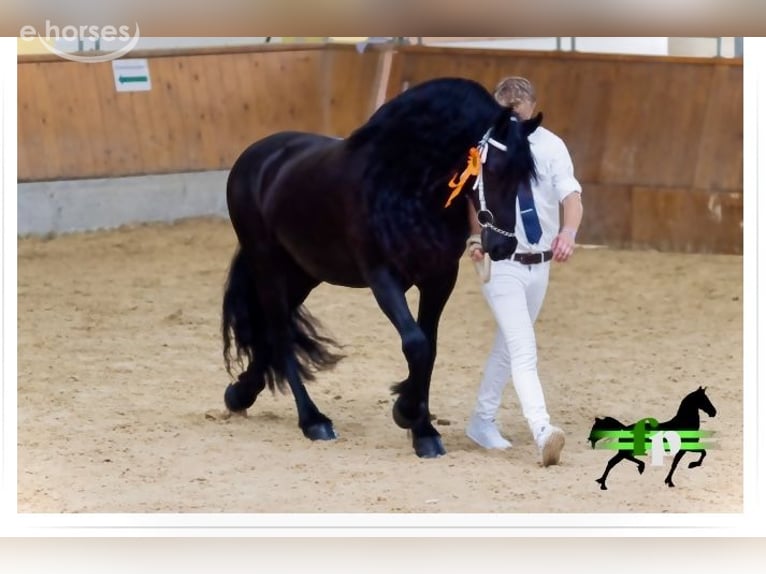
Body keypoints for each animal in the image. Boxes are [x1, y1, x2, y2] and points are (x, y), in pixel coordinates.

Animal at [221, 77, 542, 458]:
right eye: (492, 170)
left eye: (526, 176)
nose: (502, 246)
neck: (405, 186)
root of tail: (256, 156)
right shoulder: (382, 278)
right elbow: (415, 344)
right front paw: (406, 413)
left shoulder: (438, 278)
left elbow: (429, 348)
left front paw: (423, 430)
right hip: (267, 265)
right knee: (280, 333)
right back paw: (313, 421)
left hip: (303, 274)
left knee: (273, 331)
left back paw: (240, 394)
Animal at [588, 387, 717, 489]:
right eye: (704, 399)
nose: (714, 412)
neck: (683, 423)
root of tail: (625, 429)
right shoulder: (685, 448)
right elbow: (701, 453)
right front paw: (691, 466)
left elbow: (677, 463)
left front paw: (669, 481)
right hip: (627, 450)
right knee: (617, 460)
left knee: (614, 461)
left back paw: (603, 483)